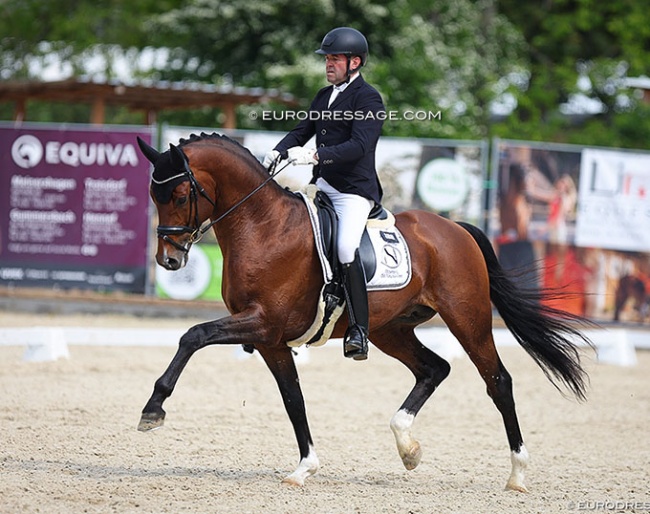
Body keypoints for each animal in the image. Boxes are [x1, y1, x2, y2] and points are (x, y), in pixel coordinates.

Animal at [134, 133, 588, 492]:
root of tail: (456, 228)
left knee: (498, 382)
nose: (169, 261)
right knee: (434, 368)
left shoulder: (262, 323)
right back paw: (407, 447)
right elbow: (293, 398)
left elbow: (193, 335)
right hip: (390, 330)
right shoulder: (270, 340)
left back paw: (517, 475)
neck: (263, 225)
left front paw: (153, 409)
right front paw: (304, 468)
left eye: (179, 196)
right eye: (154, 196)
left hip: (468, 320)